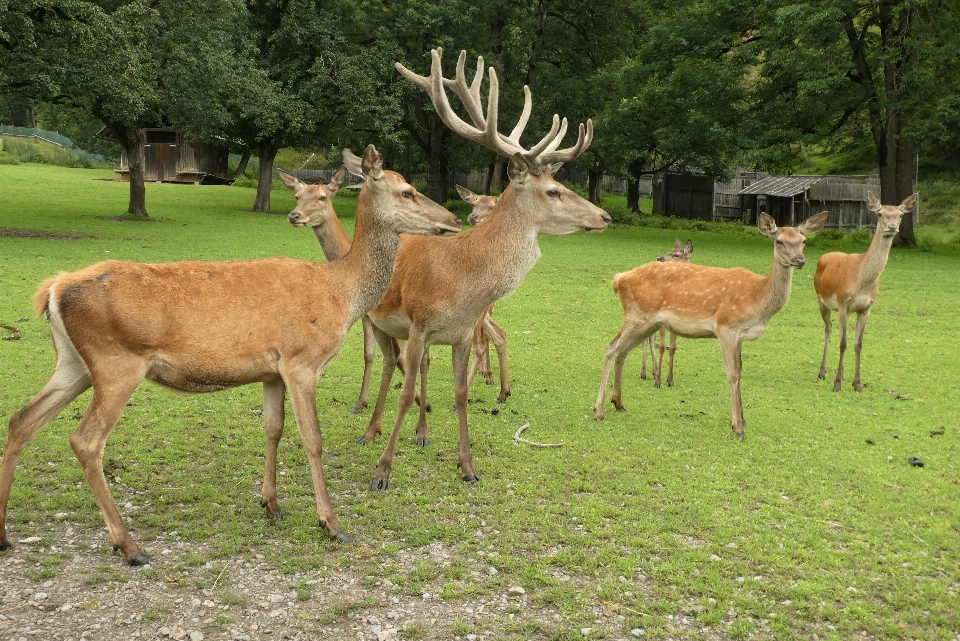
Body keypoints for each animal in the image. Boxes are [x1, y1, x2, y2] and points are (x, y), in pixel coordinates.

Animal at [0, 146, 464, 564]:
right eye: (407, 191)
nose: (454, 220)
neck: (342, 293)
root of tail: (52, 289)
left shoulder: (272, 371)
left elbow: (274, 428)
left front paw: (272, 504)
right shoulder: (302, 360)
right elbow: (312, 439)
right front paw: (331, 524)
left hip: (73, 363)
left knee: (22, 419)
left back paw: (5, 535)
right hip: (117, 363)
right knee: (85, 439)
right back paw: (129, 546)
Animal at [356, 50, 612, 490]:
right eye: (554, 191)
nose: (605, 216)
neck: (463, 283)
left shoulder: (460, 334)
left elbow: (460, 393)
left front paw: (468, 466)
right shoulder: (420, 324)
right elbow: (407, 394)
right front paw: (382, 473)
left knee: (395, 363)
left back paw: (390, 431)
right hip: (377, 317)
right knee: (387, 363)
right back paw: (370, 432)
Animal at [640, 238, 692, 388]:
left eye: (677, 255)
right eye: (670, 251)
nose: (659, 258)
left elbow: (673, 348)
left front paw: (670, 380)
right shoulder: (663, 322)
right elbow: (663, 347)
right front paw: (658, 381)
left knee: (651, 340)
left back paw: (654, 370)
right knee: (647, 340)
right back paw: (645, 373)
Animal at [812, 189, 920, 390]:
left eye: (900, 215)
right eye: (880, 213)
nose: (892, 226)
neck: (862, 282)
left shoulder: (867, 308)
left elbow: (858, 344)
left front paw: (857, 384)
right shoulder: (844, 303)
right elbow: (843, 343)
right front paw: (837, 384)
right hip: (821, 299)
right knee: (828, 329)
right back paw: (822, 373)